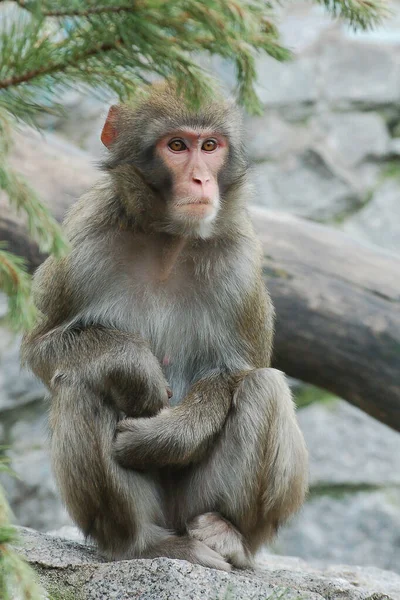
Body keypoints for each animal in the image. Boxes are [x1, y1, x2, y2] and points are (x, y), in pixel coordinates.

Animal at [21, 81, 308, 572]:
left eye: (209, 146)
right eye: (177, 146)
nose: (201, 180)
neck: (168, 240)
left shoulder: (241, 259)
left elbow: (236, 370)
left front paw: (168, 435)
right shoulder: (83, 237)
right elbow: (40, 346)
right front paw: (134, 365)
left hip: (195, 503)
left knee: (264, 386)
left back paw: (228, 533)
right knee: (80, 381)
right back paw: (144, 544)